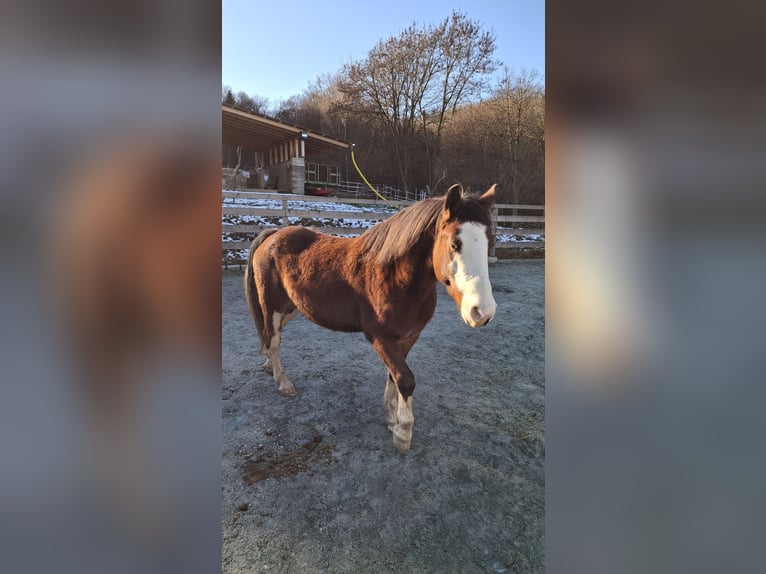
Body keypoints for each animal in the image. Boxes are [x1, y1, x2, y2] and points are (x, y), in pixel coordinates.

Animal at [244, 183, 498, 451]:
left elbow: (394, 376)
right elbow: (405, 379)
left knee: (271, 337)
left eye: (489, 241)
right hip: (273, 305)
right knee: (274, 339)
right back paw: (283, 383)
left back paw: (269, 366)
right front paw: (403, 432)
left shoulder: (408, 337)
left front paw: (391, 418)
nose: (482, 312)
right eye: (455, 244)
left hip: (291, 307)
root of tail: (273, 235)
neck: (396, 277)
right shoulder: (380, 338)